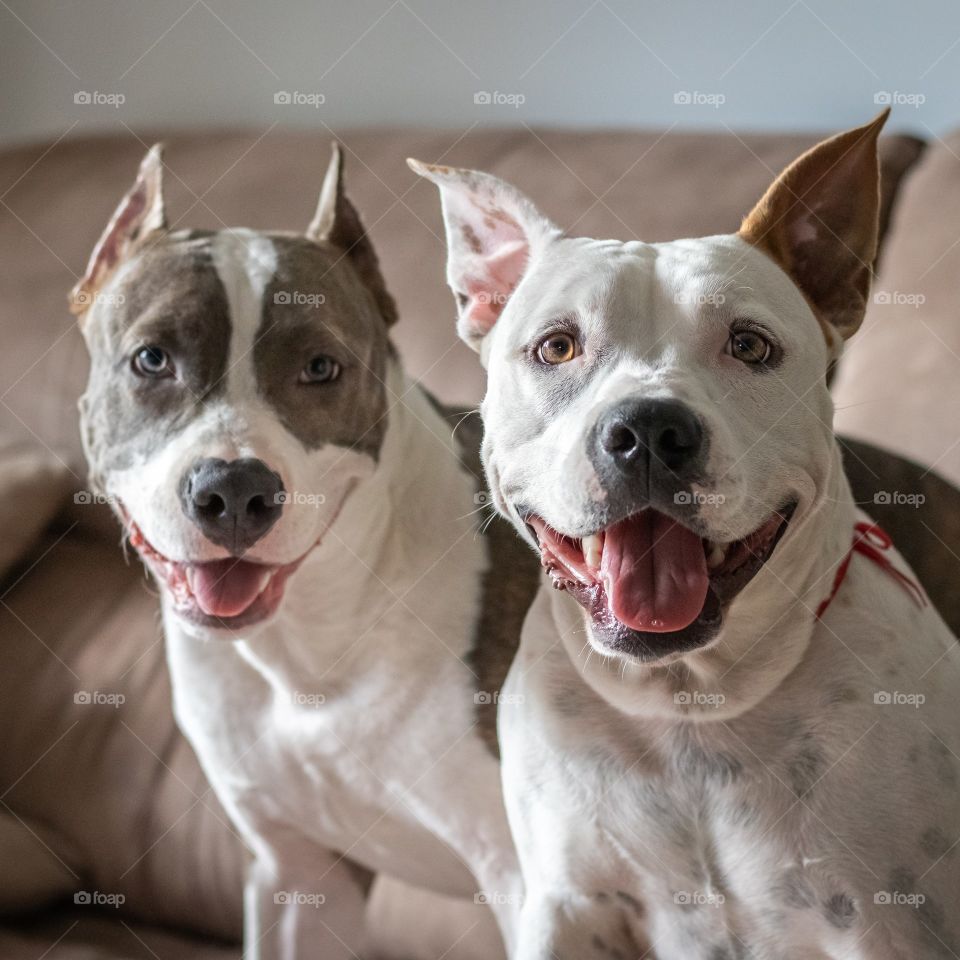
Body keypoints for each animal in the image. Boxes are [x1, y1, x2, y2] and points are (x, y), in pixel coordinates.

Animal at [416, 114, 960, 960]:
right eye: (556, 346)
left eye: (750, 345)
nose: (646, 430)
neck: (690, 707)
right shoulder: (568, 906)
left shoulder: (888, 926)